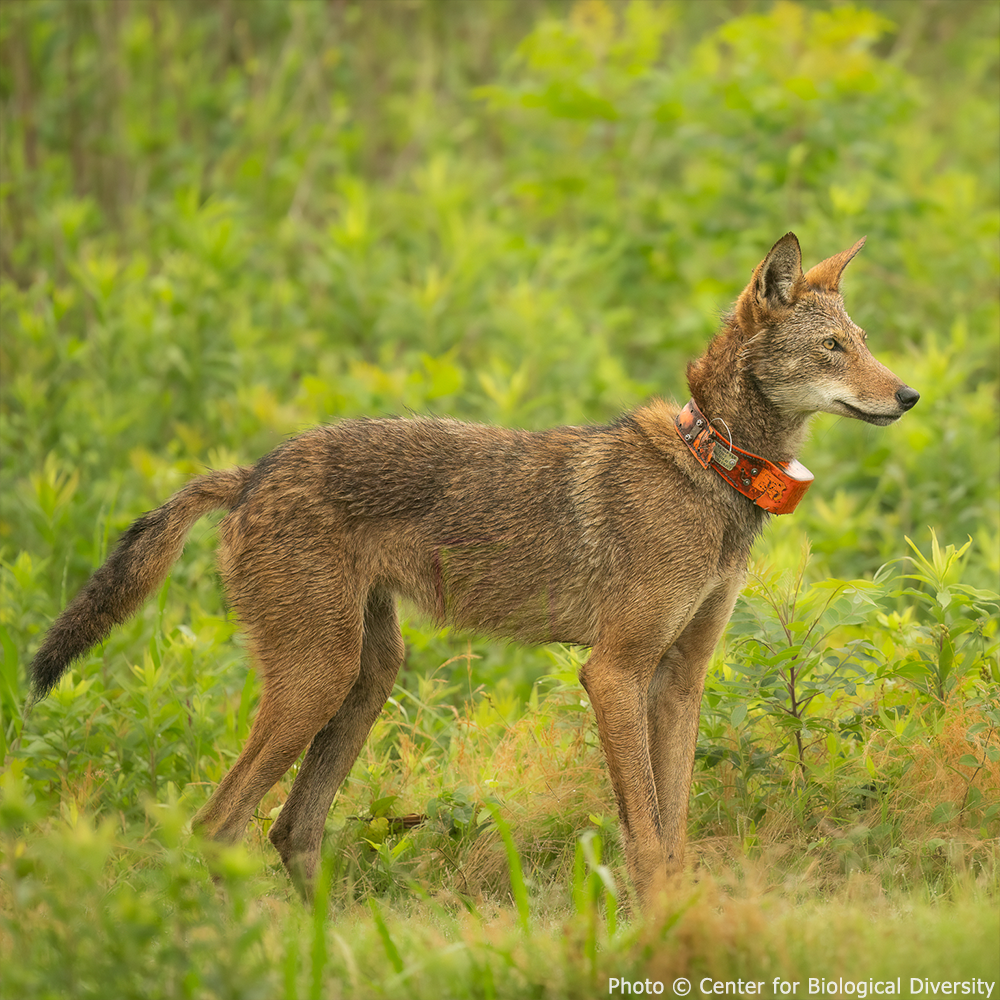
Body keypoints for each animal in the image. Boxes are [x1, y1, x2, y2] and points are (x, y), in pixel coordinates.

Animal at [29, 232, 920, 908]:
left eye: (864, 343)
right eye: (833, 348)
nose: (909, 396)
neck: (714, 468)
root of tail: (248, 475)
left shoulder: (680, 679)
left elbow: (674, 836)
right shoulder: (614, 672)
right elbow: (642, 831)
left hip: (366, 678)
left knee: (291, 828)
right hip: (320, 679)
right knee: (215, 826)